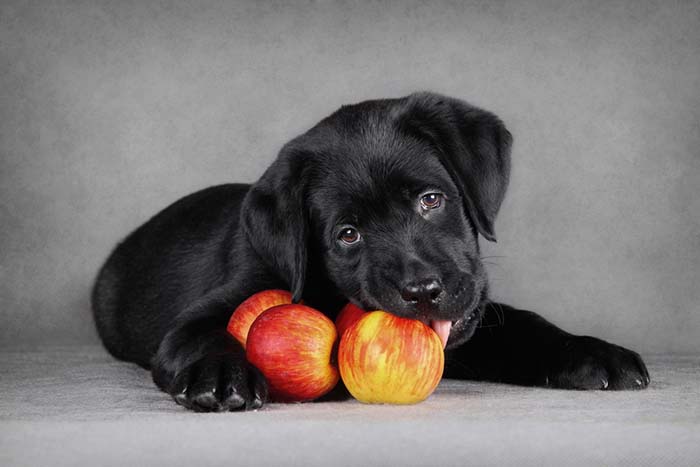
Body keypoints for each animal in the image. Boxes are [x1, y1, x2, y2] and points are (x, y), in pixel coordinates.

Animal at [93, 92, 652, 414]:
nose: (423, 291)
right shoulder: (202, 315)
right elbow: (200, 334)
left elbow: (524, 325)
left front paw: (591, 353)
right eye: (348, 234)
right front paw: (220, 376)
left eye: (431, 200)